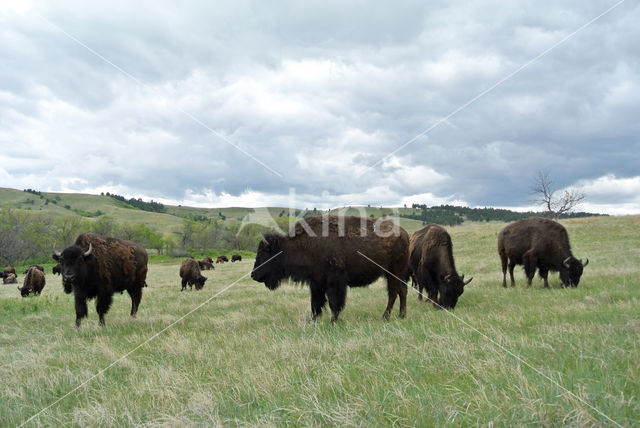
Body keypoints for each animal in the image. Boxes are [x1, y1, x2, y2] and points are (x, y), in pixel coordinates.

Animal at [251, 216, 410, 322]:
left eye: (264, 253)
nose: (253, 275)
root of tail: (405, 234)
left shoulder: (334, 281)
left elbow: (334, 302)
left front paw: (333, 321)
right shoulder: (316, 282)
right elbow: (316, 303)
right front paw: (313, 320)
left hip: (394, 273)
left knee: (393, 293)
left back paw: (385, 317)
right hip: (397, 274)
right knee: (402, 291)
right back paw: (401, 316)